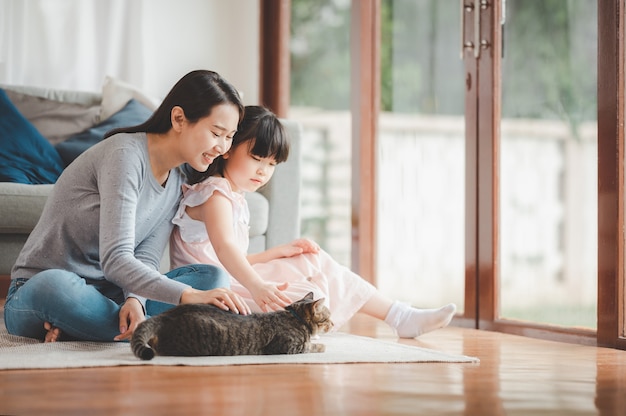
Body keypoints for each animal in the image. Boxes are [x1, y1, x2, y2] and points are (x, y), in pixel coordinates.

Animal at [130, 290, 332, 360]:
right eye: (329, 317)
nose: (334, 323)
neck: (295, 317)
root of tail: (166, 315)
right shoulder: (286, 346)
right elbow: (310, 346)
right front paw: (321, 345)